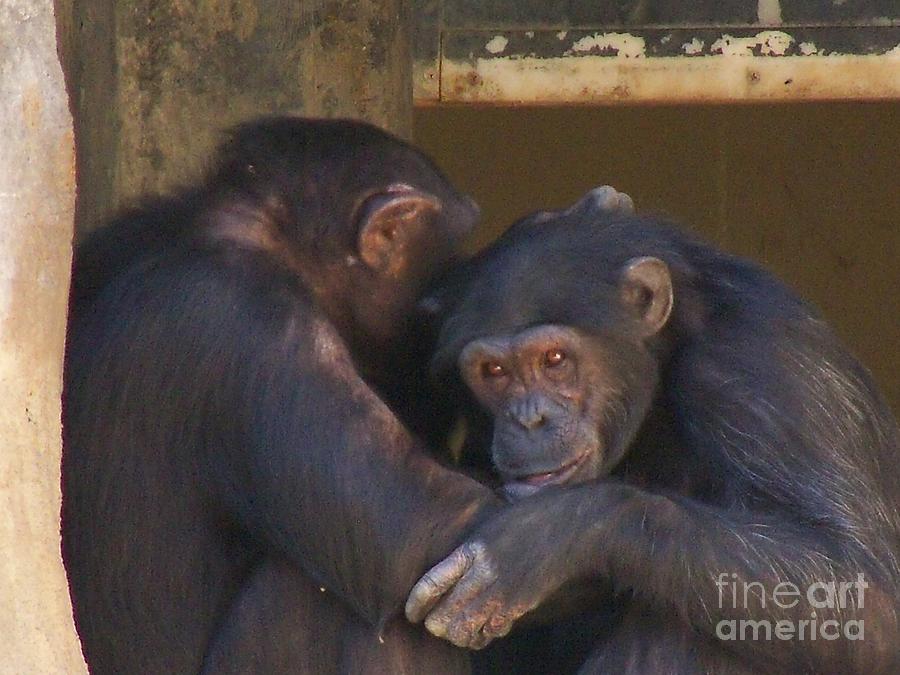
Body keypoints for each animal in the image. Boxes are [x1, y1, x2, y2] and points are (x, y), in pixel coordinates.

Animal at [408, 190, 900, 675]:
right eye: (494, 371)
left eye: (554, 359)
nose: (529, 419)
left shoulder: (763, 369)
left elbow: (861, 588)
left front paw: (545, 534)